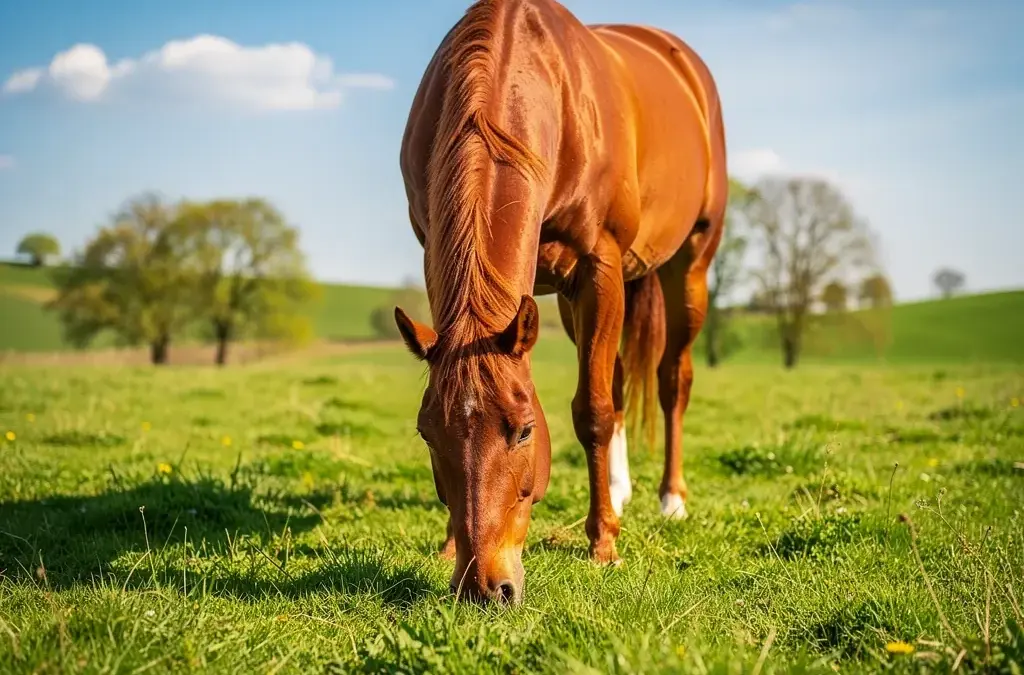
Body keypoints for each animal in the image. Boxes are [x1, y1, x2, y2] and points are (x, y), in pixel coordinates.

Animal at [395, 0, 727, 604]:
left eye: (525, 429)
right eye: (427, 432)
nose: (485, 587)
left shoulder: (600, 268)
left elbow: (590, 411)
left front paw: (603, 545)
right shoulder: (436, 248)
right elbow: (603, 398)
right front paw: (449, 545)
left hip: (688, 266)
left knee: (672, 379)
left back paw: (671, 499)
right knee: (617, 381)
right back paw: (619, 491)